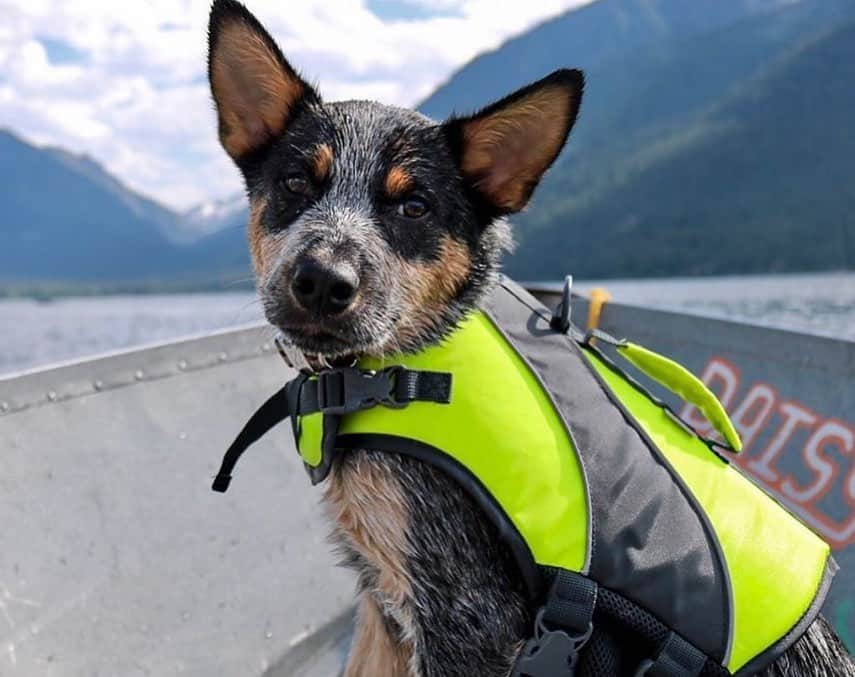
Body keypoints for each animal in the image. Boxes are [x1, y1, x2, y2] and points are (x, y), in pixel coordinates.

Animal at [207, 2, 855, 672]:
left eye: (414, 206)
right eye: (295, 184)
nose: (321, 282)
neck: (398, 361)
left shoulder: (466, 621)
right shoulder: (383, 604)